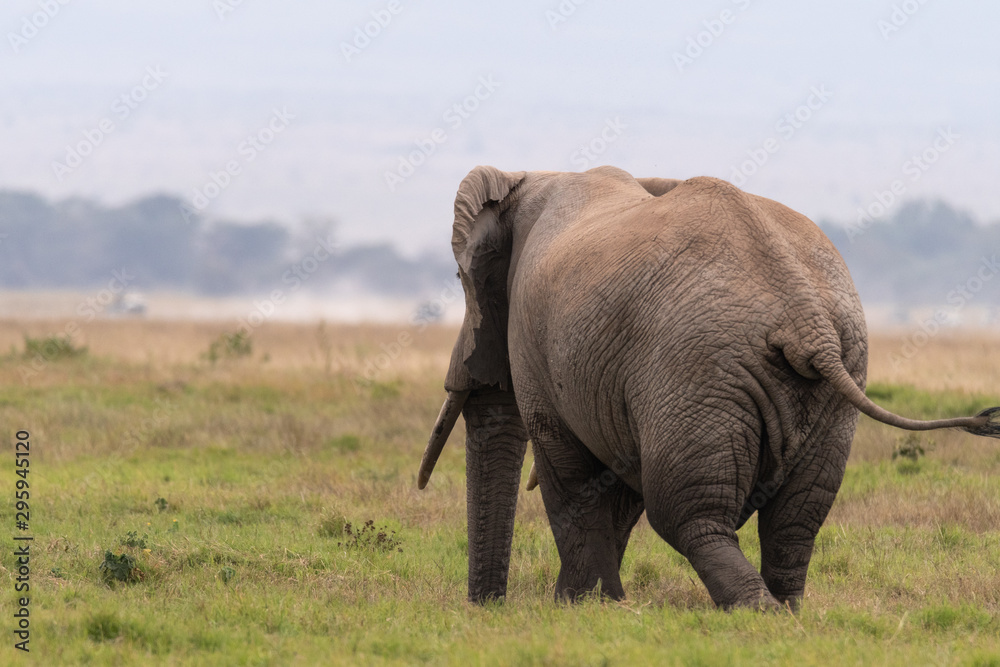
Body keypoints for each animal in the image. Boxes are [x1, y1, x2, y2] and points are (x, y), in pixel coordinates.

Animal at [416, 165, 1000, 610]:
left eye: (462, 281)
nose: (488, 606)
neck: (529, 177)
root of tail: (804, 318)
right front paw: (600, 604)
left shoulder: (538, 343)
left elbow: (573, 476)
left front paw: (581, 608)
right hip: (831, 377)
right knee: (795, 519)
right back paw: (785, 611)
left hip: (698, 370)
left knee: (688, 514)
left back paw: (756, 612)